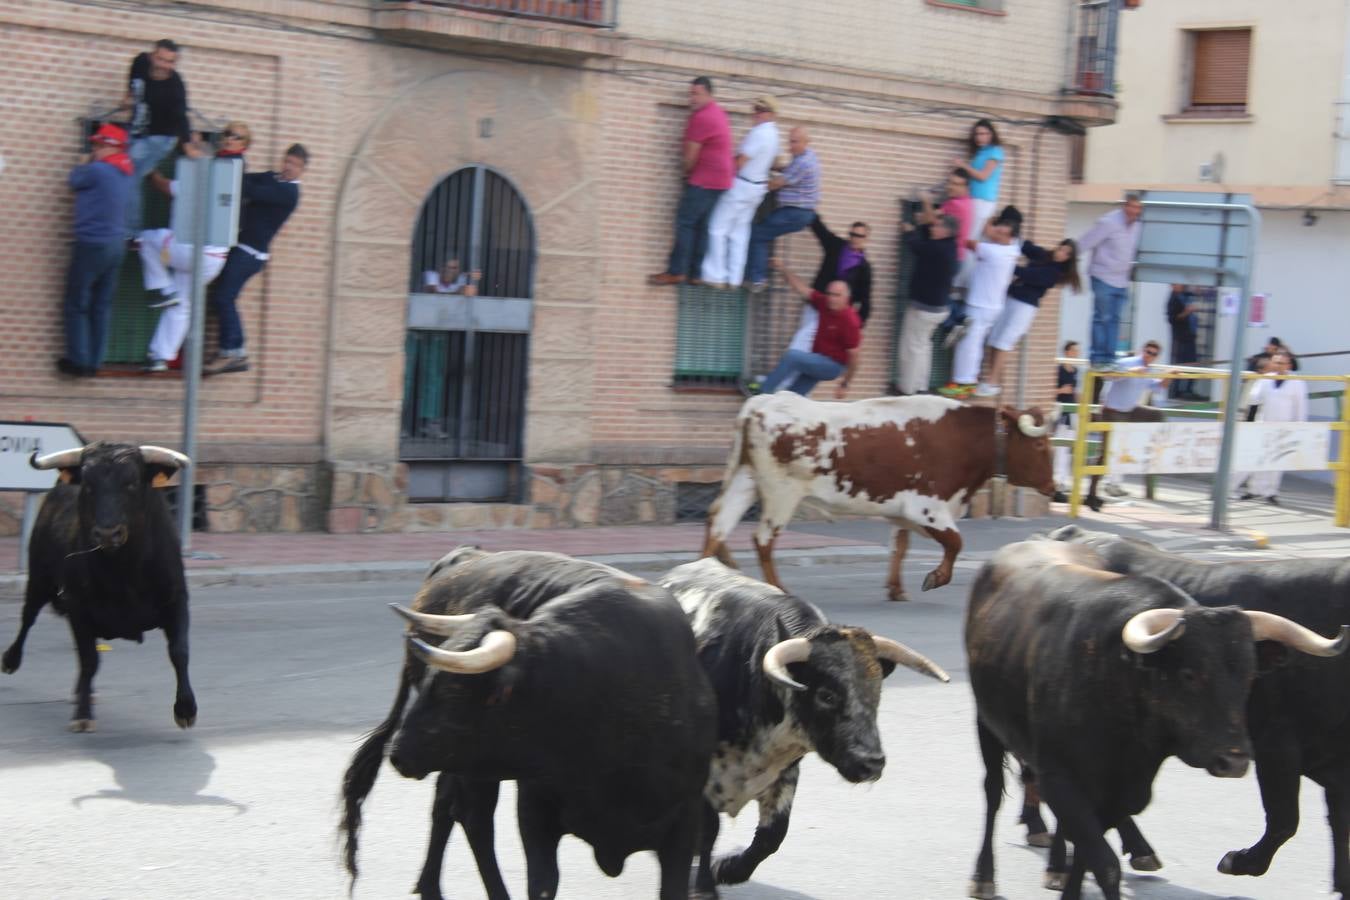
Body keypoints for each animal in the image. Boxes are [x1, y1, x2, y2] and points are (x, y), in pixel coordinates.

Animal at [340, 550, 718, 900]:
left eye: (452, 690)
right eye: (431, 680)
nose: (399, 754)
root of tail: (465, 556)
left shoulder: (684, 822)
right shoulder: (535, 811)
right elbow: (542, 884)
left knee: (447, 805)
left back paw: (429, 885)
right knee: (473, 818)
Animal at [702, 391, 1058, 599]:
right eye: (1041, 444)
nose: (1055, 488)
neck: (963, 437)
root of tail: (761, 403)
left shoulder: (900, 510)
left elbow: (899, 547)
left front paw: (896, 589)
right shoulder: (926, 508)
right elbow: (956, 542)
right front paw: (936, 577)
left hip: (747, 481)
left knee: (718, 524)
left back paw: (703, 575)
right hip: (781, 493)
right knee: (762, 539)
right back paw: (778, 589)